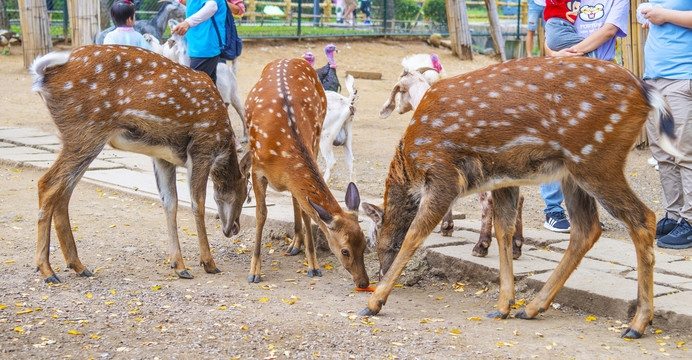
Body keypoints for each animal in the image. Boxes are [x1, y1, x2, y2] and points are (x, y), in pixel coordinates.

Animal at [30, 45, 251, 282]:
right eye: (245, 194)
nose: (234, 228)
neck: (222, 142)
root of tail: (42, 74)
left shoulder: (163, 157)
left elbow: (170, 203)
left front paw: (179, 266)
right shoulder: (202, 147)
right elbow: (197, 203)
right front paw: (208, 263)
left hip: (81, 138)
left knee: (64, 193)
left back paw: (78, 266)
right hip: (85, 131)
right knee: (47, 183)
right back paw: (47, 271)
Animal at [246, 57, 370, 288]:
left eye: (365, 243)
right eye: (345, 250)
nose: (364, 282)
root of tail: (289, 59)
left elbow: (305, 210)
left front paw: (313, 266)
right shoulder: (256, 169)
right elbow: (261, 214)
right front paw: (254, 272)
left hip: (319, 134)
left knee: (298, 201)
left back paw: (296, 244)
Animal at [378, 68, 524, 258]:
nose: (398, 109)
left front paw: (446, 226)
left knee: (488, 201)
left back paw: (482, 246)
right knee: (519, 198)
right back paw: (516, 246)